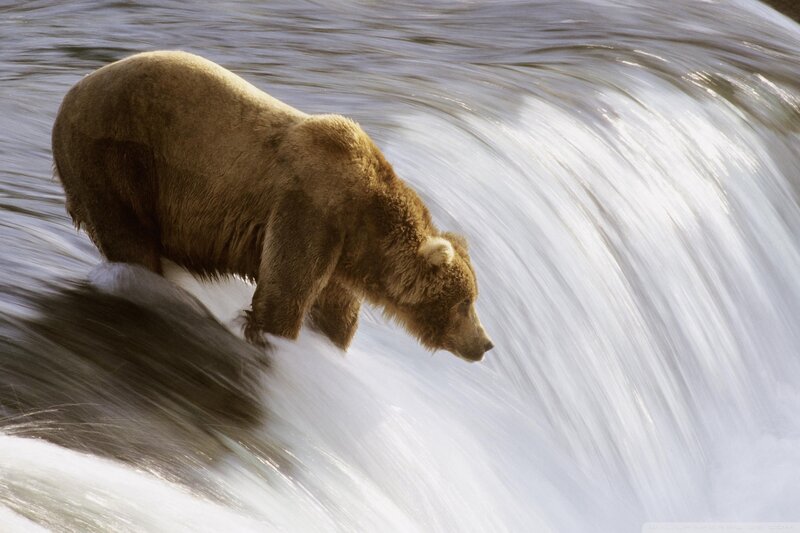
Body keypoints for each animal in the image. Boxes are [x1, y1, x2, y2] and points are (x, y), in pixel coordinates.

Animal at [52, 51, 494, 362]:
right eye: (465, 302)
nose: (485, 343)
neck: (364, 222)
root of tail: (71, 93)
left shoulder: (340, 253)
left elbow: (335, 313)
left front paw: (329, 344)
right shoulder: (310, 210)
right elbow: (284, 294)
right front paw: (274, 340)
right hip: (117, 159)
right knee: (129, 237)